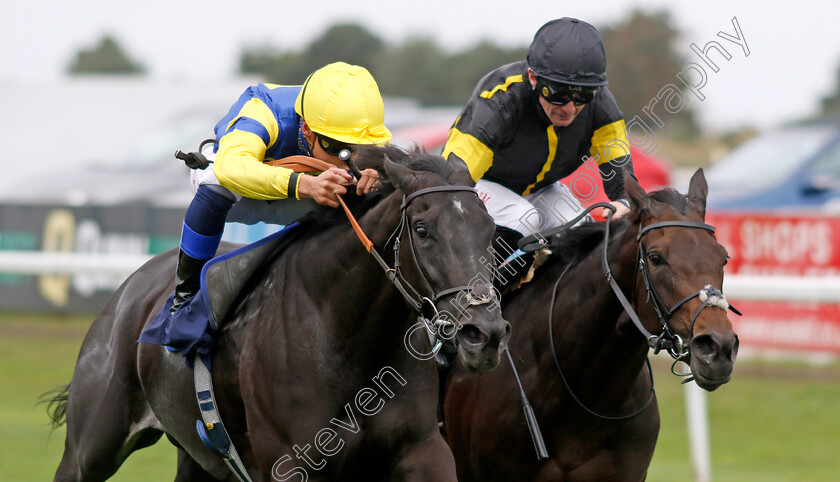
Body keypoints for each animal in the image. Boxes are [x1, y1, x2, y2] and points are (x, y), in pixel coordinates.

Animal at [50, 145, 512, 480]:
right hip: (91, 448)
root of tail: (130, 289)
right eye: (422, 230)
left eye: (490, 229)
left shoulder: (422, 449)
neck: (346, 339)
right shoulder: (290, 463)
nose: (484, 334)